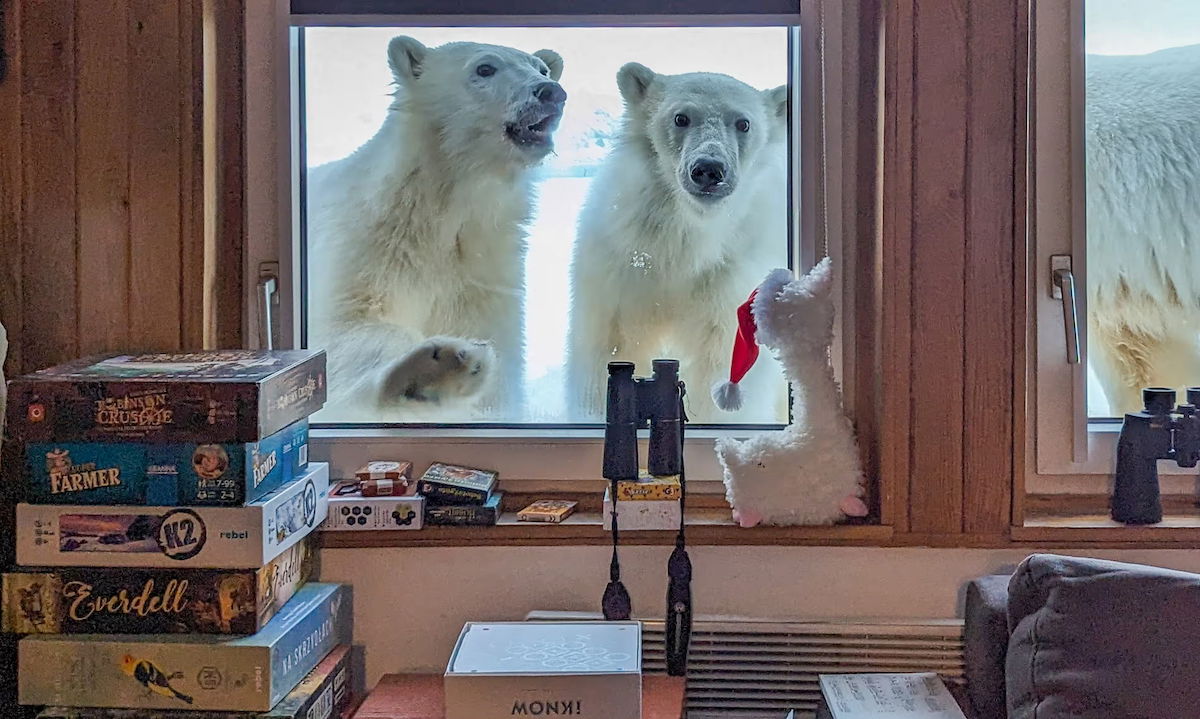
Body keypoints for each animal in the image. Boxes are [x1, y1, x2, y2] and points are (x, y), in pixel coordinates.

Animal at [304, 37, 566, 422]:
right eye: (485, 68)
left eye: (542, 68)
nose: (551, 92)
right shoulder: (364, 247)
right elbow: (345, 329)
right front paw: (435, 369)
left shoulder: (482, 273)